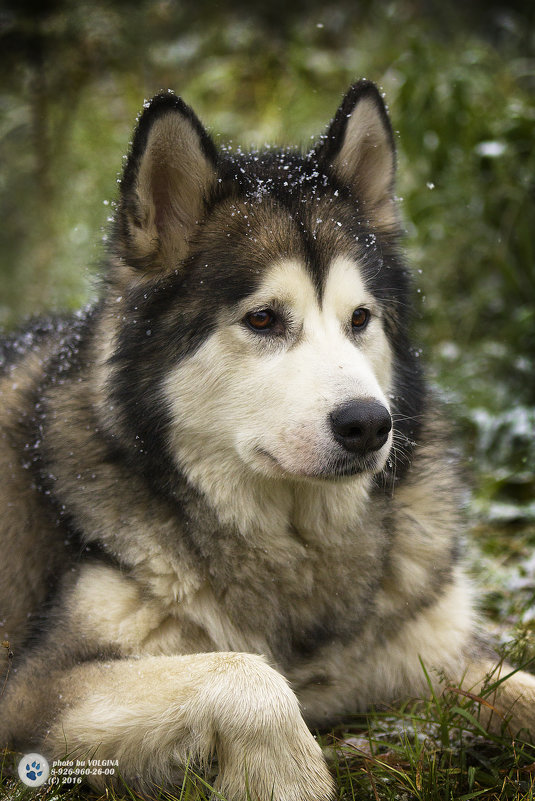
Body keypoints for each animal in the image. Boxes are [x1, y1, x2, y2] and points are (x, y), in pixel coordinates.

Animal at [1, 76, 535, 800]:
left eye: (359, 318)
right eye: (262, 318)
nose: (369, 424)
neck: (292, 549)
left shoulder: (435, 646)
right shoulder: (35, 688)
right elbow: (249, 673)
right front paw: (288, 774)